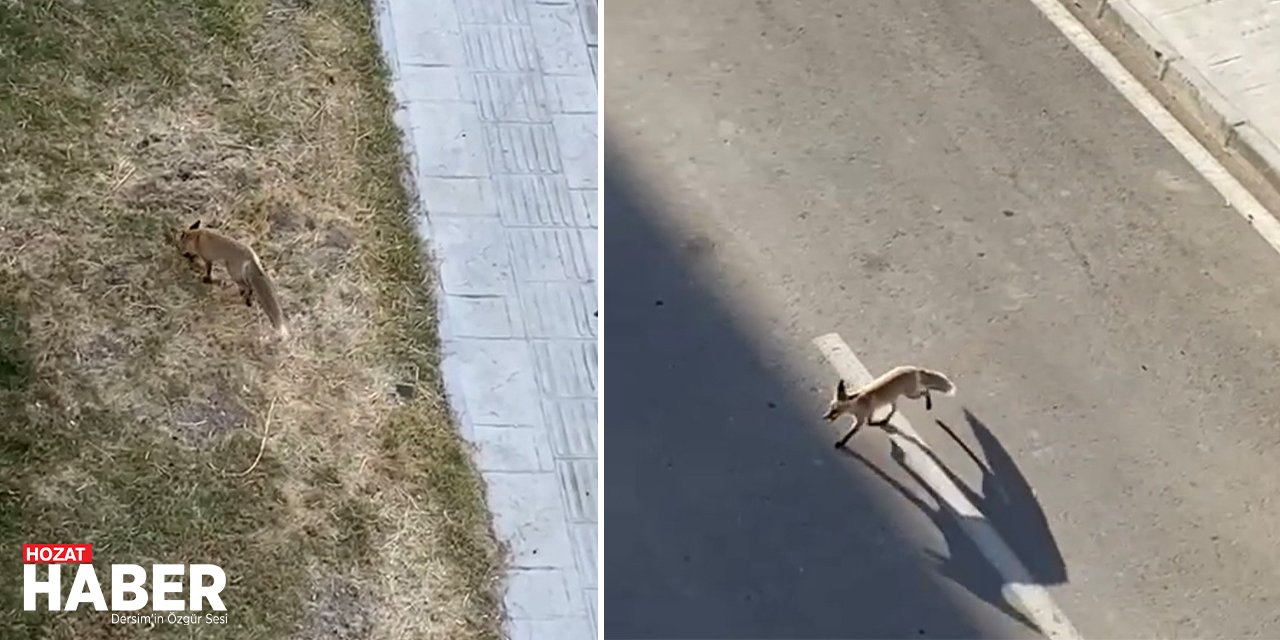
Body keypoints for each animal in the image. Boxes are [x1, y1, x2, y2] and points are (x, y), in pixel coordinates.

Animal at [824, 366, 957, 450]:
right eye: (830, 408)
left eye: (834, 410)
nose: (824, 417)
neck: (857, 403)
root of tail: (913, 368)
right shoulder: (870, 413)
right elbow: (871, 423)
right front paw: (884, 424)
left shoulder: (860, 420)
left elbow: (850, 434)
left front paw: (841, 443)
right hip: (895, 399)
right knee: (895, 409)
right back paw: (887, 419)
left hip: (911, 395)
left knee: (926, 391)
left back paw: (929, 405)